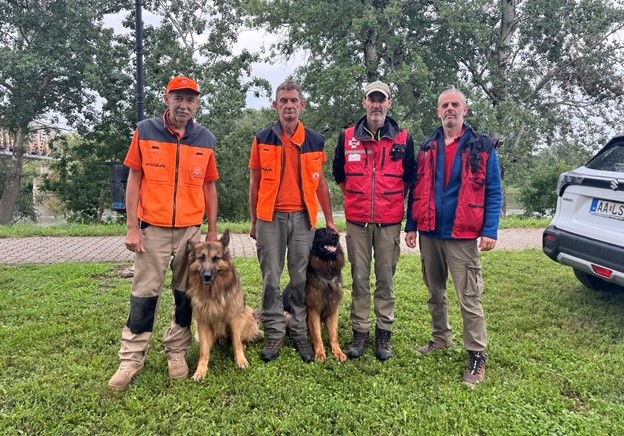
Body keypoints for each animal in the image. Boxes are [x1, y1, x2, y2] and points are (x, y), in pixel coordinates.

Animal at [185, 230, 264, 380]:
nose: (207, 276)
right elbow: (204, 351)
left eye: (216, 258)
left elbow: (236, 342)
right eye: (201, 258)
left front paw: (241, 360)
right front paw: (200, 370)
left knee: (241, 339)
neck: (213, 293)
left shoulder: (233, 319)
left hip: (246, 314)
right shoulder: (202, 321)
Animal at [304, 227, 346, 362]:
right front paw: (320, 353)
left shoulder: (333, 310)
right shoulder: (313, 311)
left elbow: (333, 335)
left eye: (333, 230)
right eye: (322, 232)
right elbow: (317, 335)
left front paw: (338, 352)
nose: (336, 235)